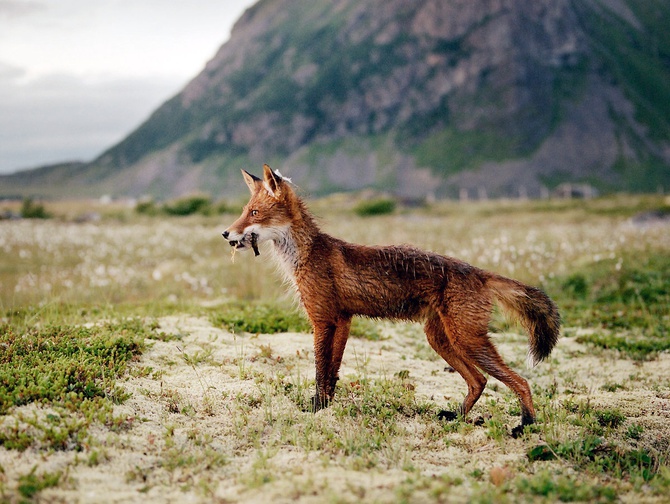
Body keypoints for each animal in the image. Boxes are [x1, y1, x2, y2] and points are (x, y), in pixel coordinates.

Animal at [224, 163, 560, 436]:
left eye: (254, 213)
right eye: (244, 211)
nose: (226, 234)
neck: (306, 255)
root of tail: (479, 272)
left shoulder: (323, 320)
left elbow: (320, 371)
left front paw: (316, 409)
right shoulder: (343, 320)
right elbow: (332, 373)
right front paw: (327, 408)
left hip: (468, 339)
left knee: (520, 381)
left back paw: (527, 425)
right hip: (441, 339)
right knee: (479, 381)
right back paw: (457, 417)